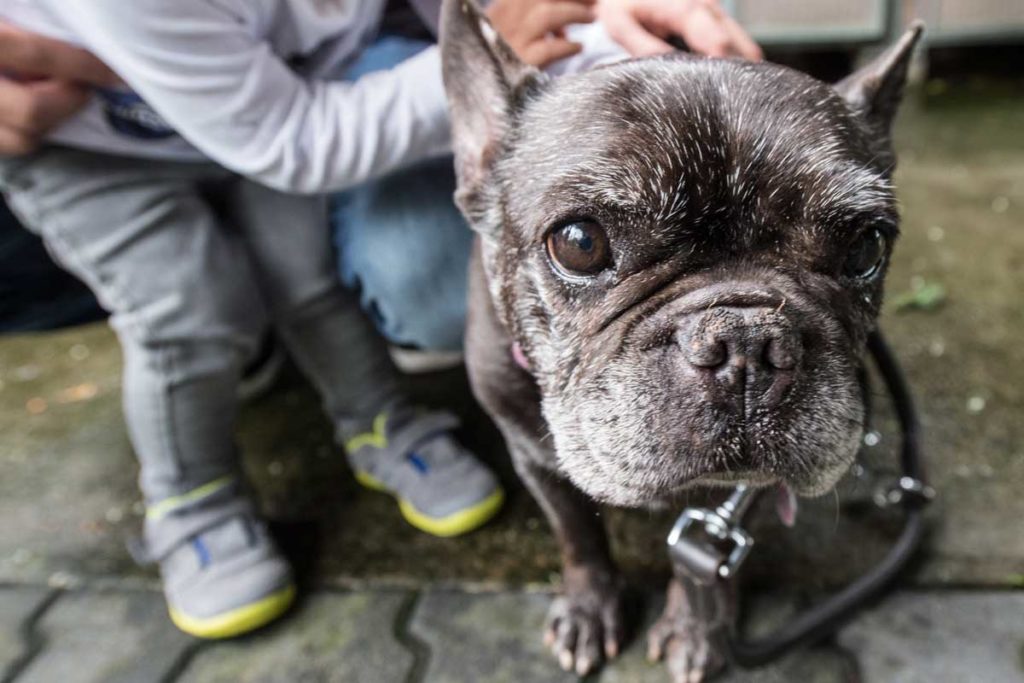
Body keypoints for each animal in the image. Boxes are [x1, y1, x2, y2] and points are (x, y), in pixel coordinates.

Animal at [440, 2, 921, 679]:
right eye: (579, 243)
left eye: (865, 247)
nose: (747, 341)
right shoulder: (534, 458)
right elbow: (577, 536)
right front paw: (590, 607)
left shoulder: (748, 491)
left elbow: (707, 560)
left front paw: (697, 628)